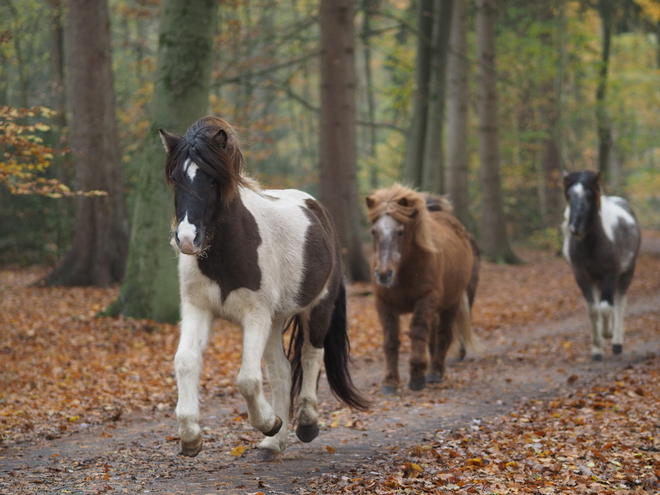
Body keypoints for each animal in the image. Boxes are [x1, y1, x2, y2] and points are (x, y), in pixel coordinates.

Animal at [158, 116, 368, 462]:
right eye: (175, 178)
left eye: (212, 180)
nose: (187, 239)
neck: (227, 252)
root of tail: (317, 209)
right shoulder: (198, 309)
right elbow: (186, 361)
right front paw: (190, 437)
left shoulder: (254, 315)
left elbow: (247, 379)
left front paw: (268, 423)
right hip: (276, 320)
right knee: (281, 371)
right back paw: (274, 445)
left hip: (318, 307)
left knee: (311, 355)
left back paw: (306, 424)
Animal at [366, 185, 480, 396]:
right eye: (374, 231)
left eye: (400, 231)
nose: (384, 274)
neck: (405, 267)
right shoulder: (384, 303)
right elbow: (390, 340)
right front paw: (390, 382)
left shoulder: (426, 299)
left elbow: (418, 332)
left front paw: (417, 378)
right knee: (434, 336)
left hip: (452, 303)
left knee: (444, 334)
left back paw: (435, 372)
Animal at [560, 170, 640, 360]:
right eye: (570, 196)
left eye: (589, 196)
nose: (574, 227)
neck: (592, 244)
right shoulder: (582, 276)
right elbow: (593, 311)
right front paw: (597, 349)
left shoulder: (610, 274)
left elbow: (605, 307)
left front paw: (607, 333)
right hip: (596, 280)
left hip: (627, 272)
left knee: (619, 303)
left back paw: (617, 342)